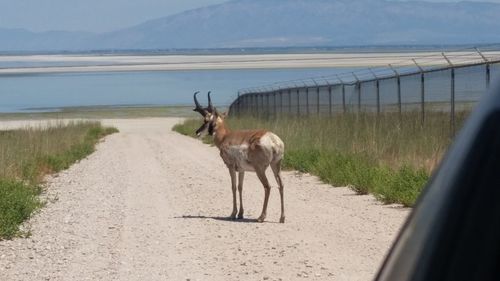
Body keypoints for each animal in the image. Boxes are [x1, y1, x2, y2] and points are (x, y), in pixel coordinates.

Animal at [192, 91, 286, 222]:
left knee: (267, 186)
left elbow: (233, 187)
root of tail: (272, 138)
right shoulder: (242, 170)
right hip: (276, 166)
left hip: (260, 170)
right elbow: (240, 187)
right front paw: (241, 213)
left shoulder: (230, 167)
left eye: (206, 120)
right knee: (281, 185)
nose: (197, 132)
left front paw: (233, 213)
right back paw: (282, 218)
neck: (225, 137)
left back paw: (261, 217)